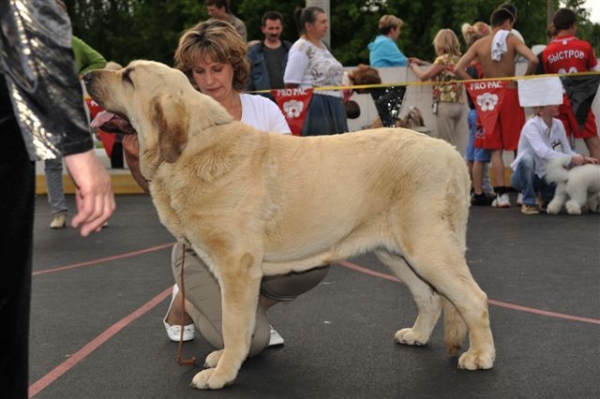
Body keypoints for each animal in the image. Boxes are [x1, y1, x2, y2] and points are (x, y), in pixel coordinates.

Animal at [85, 61, 496, 390]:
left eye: (128, 76)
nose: (87, 75)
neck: (192, 147)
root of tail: (450, 152)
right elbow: (236, 323)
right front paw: (223, 361)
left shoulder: (236, 269)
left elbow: (234, 325)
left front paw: (222, 374)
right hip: (397, 253)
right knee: (430, 298)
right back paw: (418, 335)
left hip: (427, 248)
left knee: (473, 298)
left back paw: (480, 356)